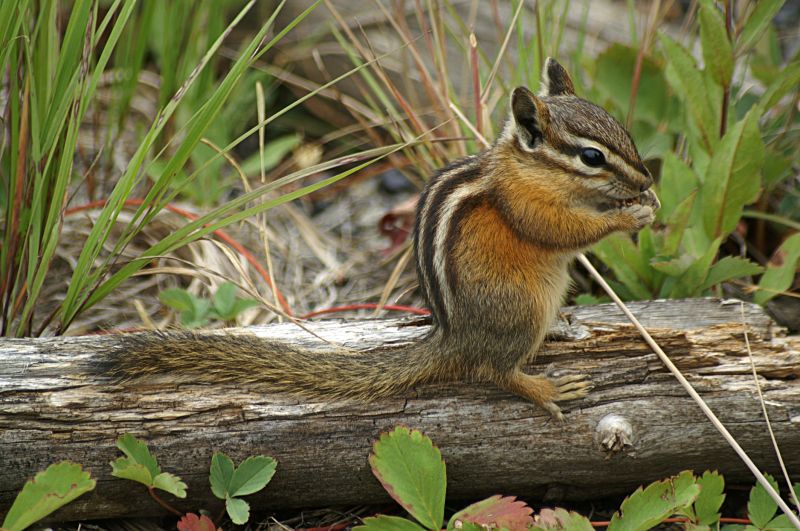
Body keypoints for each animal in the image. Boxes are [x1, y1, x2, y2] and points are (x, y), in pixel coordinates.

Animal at [107, 58, 659, 420]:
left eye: (622, 130)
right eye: (592, 157)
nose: (647, 179)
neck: (529, 168)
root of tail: (454, 338)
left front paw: (647, 203)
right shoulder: (524, 203)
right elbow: (562, 230)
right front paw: (629, 216)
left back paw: (562, 329)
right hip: (521, 308)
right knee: (492, 371)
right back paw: (545, 390)